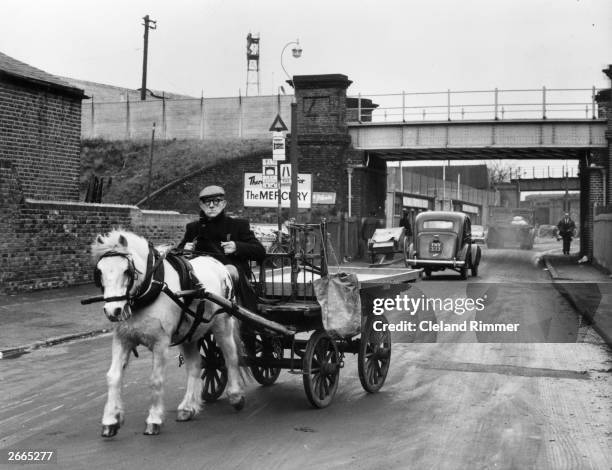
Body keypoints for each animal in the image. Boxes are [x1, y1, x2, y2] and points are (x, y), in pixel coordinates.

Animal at [89, 230, 246, 436]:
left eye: (127, 271)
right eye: (99, 272)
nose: (113, 311)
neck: (149, 289)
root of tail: (220, 265)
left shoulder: (160, 343)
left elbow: (156, 380)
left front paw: (154, 419)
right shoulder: (123, 339)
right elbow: (113, 376)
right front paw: (111, 419)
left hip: (222, 324)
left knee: (231, 357)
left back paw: (235, 396)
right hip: (189, 334)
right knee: (195, 366)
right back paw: (187, 407)